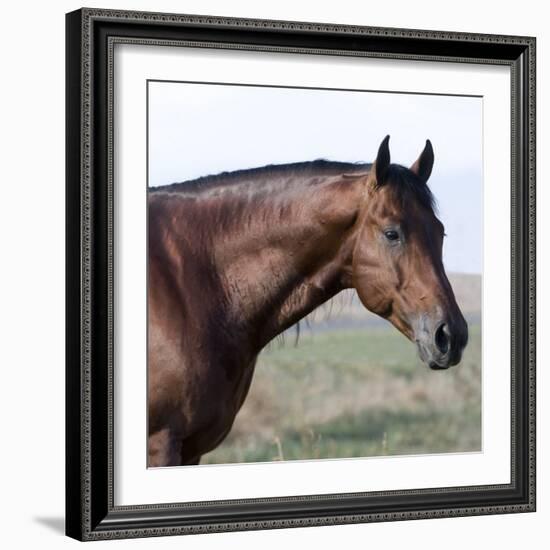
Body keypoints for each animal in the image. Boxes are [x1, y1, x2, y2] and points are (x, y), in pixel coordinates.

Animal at [148, 136, 470, 468]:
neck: (192, 282)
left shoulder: (193, 450)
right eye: (392, 233)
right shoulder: (162, 442)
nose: (451, 335)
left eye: (440, 232)